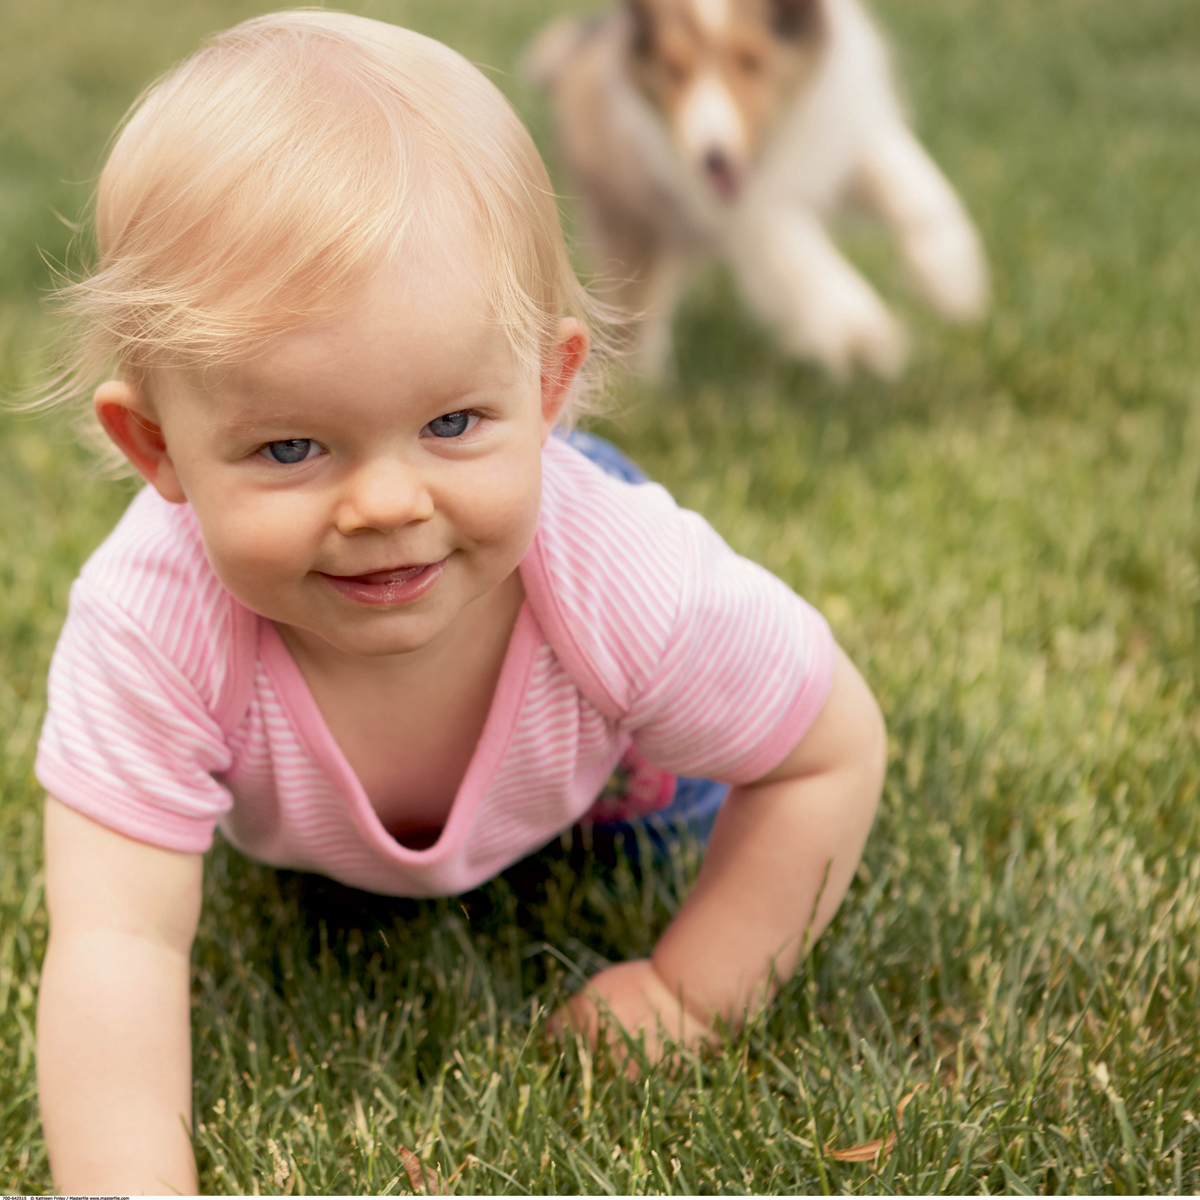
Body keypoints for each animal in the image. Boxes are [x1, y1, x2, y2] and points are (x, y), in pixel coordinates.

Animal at [523, 0, 984, 379]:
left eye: (751, 61)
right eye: (675, 70)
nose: (712, 158)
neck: (771, 144)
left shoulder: (843, 136)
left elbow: (917, 191)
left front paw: (953, 283)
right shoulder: (748, 209)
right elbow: (798, 250)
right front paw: (863, 333)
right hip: (632, 228)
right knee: (638, 309)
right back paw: (644, 387)